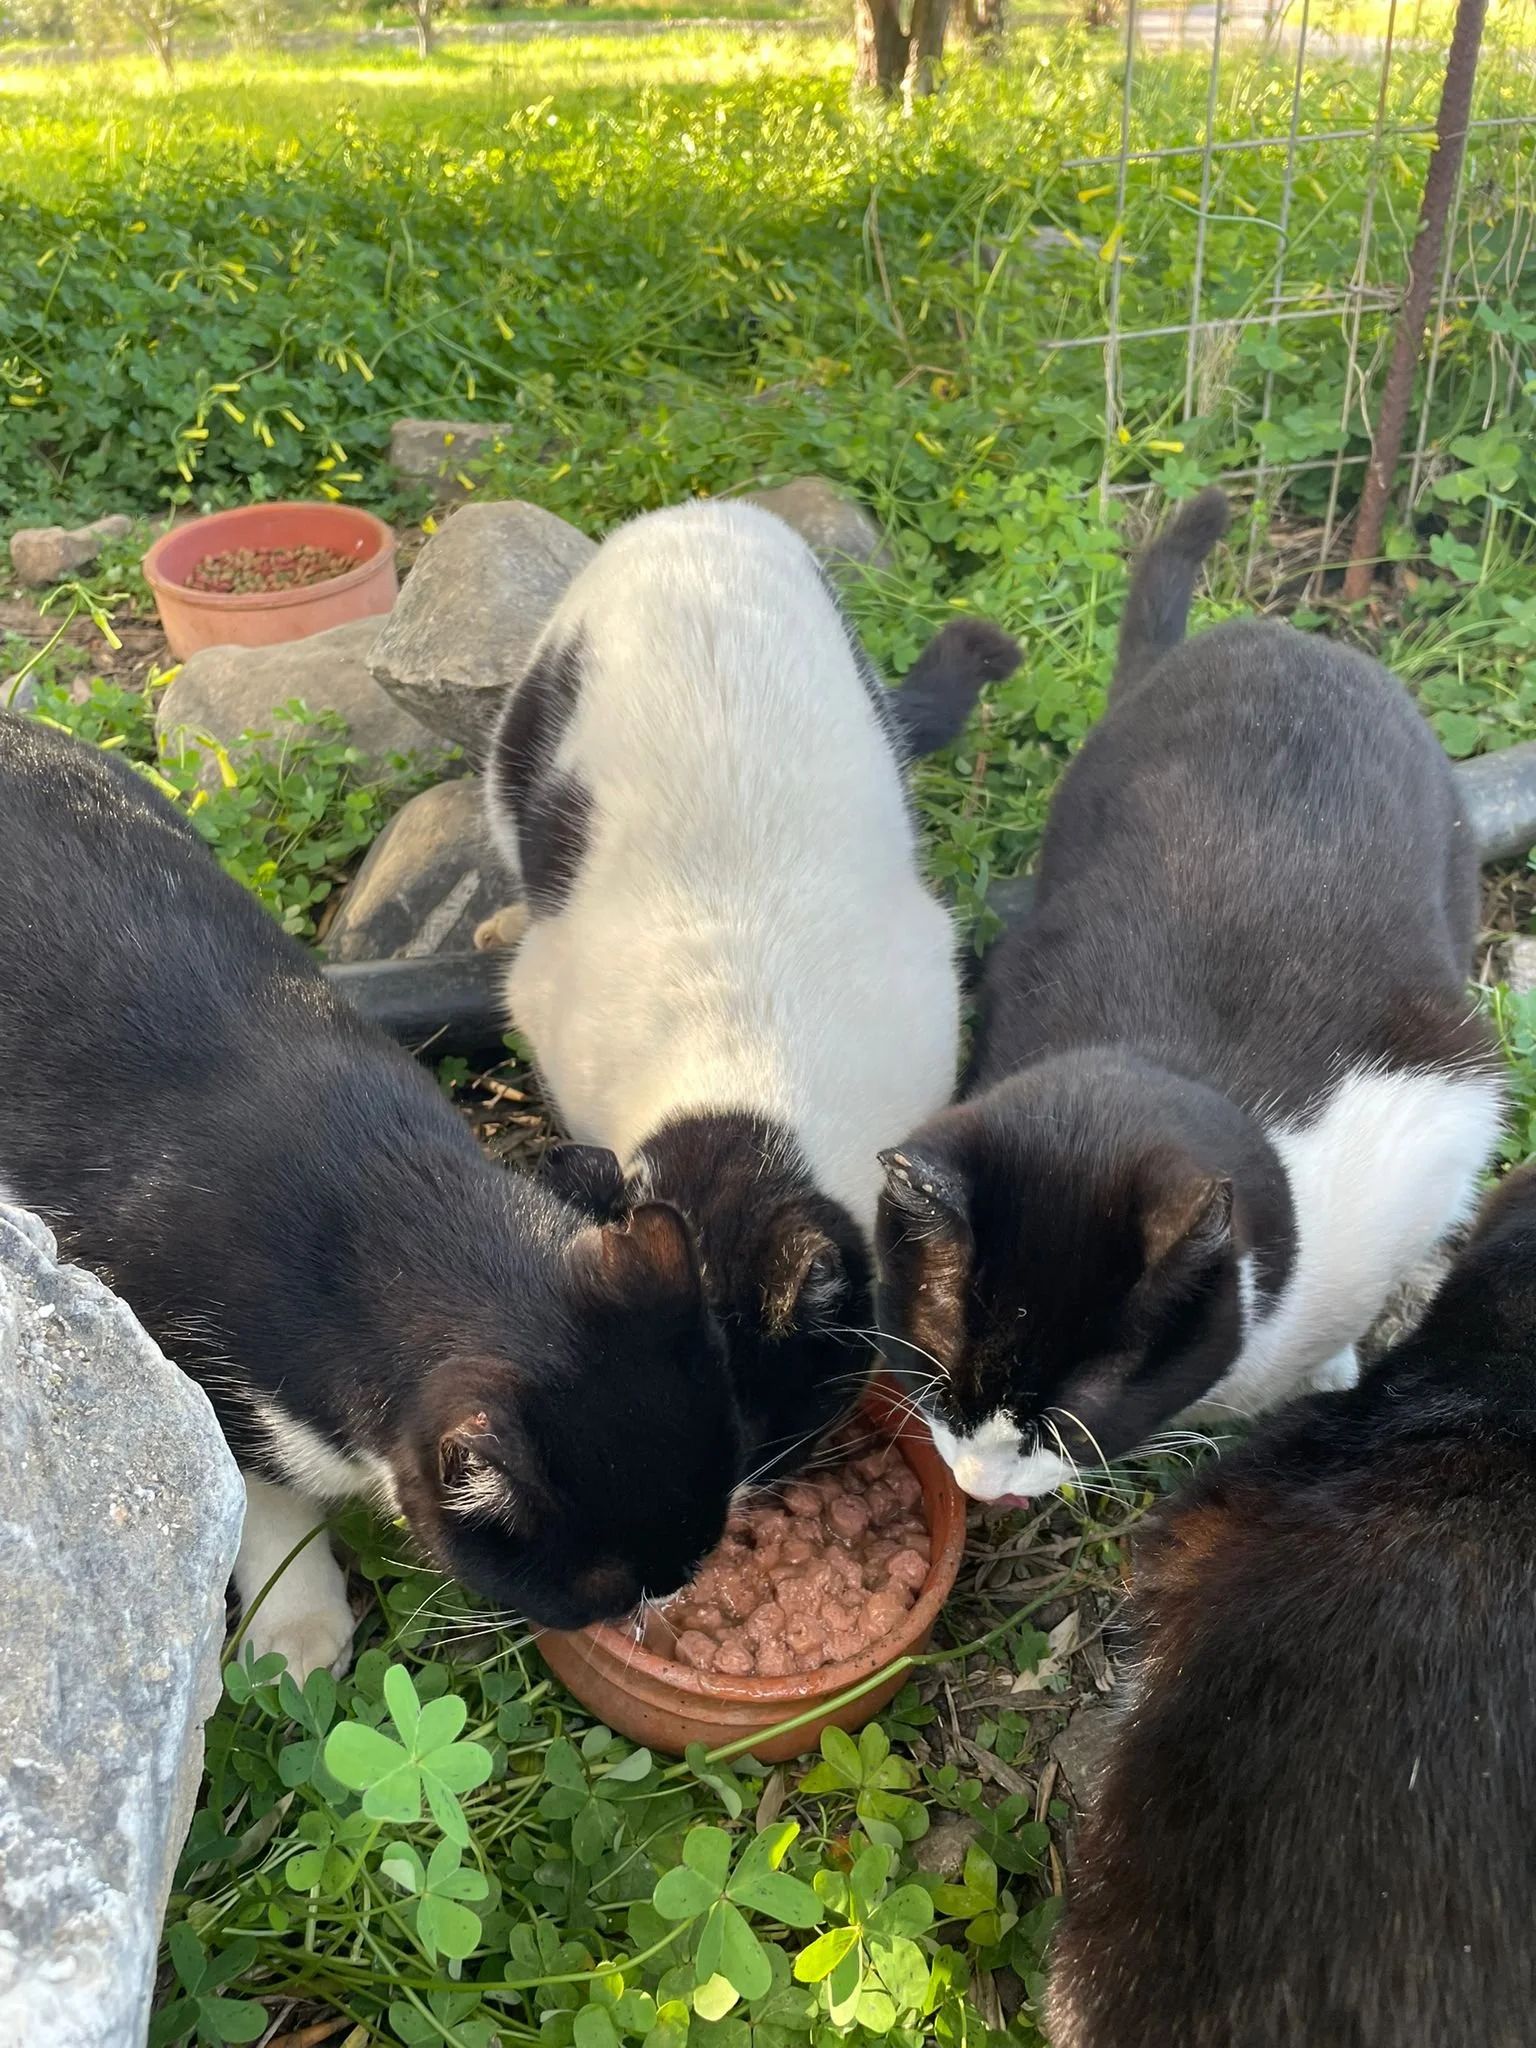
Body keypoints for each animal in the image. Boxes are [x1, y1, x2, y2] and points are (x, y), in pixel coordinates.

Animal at [0, 712, 739, 1679]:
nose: (679, 1590)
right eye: (607, 1594)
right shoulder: (191, 1375)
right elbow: (266, 1505)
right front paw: (298, 1630)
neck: (392, 1201)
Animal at [877, 487, 1504, 1501]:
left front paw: (1331, 1365)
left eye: (1074, 1413)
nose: (980, 1482)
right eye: (935, 1372)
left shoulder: (1443, 1101)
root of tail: (1267, 634)